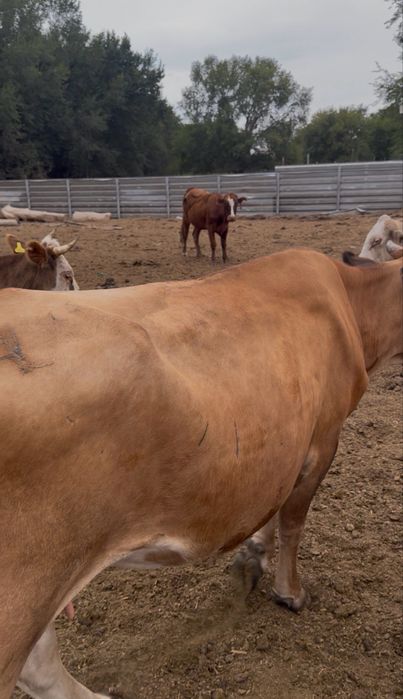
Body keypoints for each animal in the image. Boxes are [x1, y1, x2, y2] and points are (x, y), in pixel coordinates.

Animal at [0, 248, 401, 698]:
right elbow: (293, 523)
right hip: (24, 594)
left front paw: (254, 553)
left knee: (42, 664)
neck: (353, 300)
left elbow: (272, 505)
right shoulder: (323, 438)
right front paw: (290, 593)